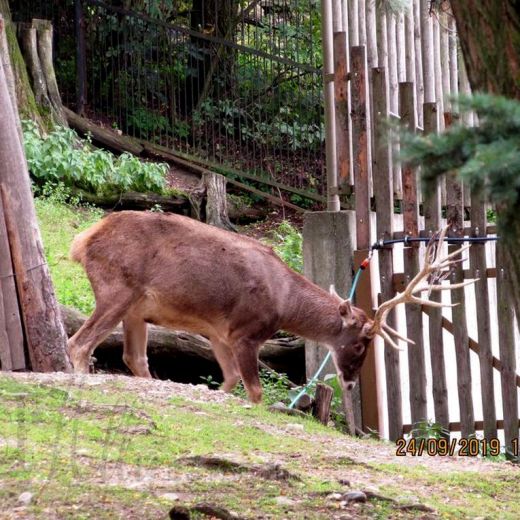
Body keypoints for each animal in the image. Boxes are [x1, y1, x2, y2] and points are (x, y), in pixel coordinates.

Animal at [66, 211, 472, 402]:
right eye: (361, 343)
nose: (351, 383)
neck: (284, 301)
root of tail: (82, 240)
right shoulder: (246, 332)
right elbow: (256, 392)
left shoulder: (220, 333)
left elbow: (229, 379)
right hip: (116, 288)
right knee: (79, 343)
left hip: (136, 310)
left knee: (134, 358)